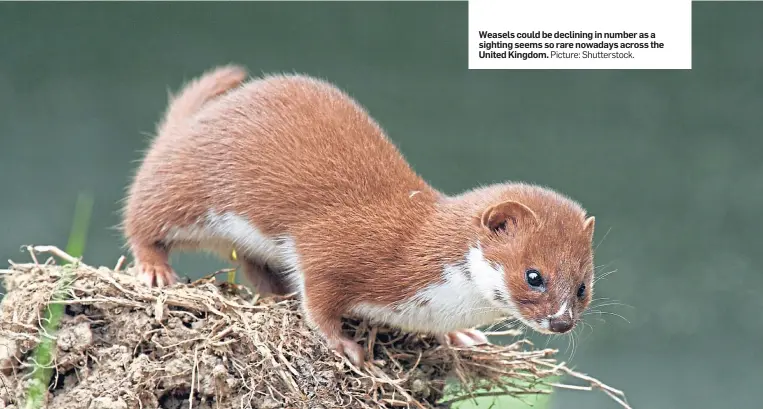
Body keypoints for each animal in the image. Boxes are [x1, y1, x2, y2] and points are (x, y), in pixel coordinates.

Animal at [124, 65, 596, 364]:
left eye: (582, 287)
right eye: (534, 275)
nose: (561, 322)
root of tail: (194, 121)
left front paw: (461, 335)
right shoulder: (333, 247)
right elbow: (318, 301)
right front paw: (345, 345)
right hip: (186, 187)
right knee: (142, 217)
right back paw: (155, 269)